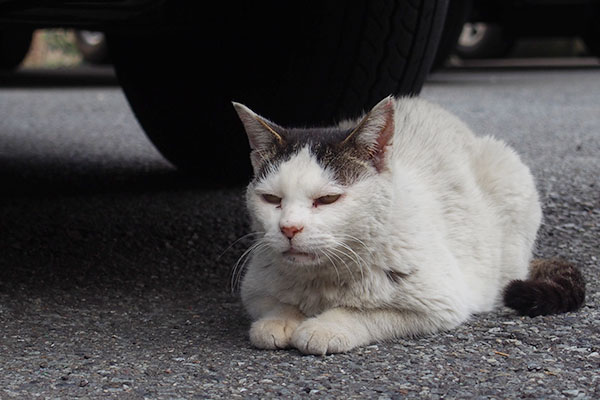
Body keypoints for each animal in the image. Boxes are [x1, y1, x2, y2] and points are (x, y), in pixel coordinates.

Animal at [231, 95, 584, 354]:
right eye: (271, 199)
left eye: (328, 199)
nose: (289, 229)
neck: (322, 279)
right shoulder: (253, 289)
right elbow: (275, 304)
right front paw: (280, 320)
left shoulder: (439, 304)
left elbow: (364, 313)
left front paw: (324, 327)